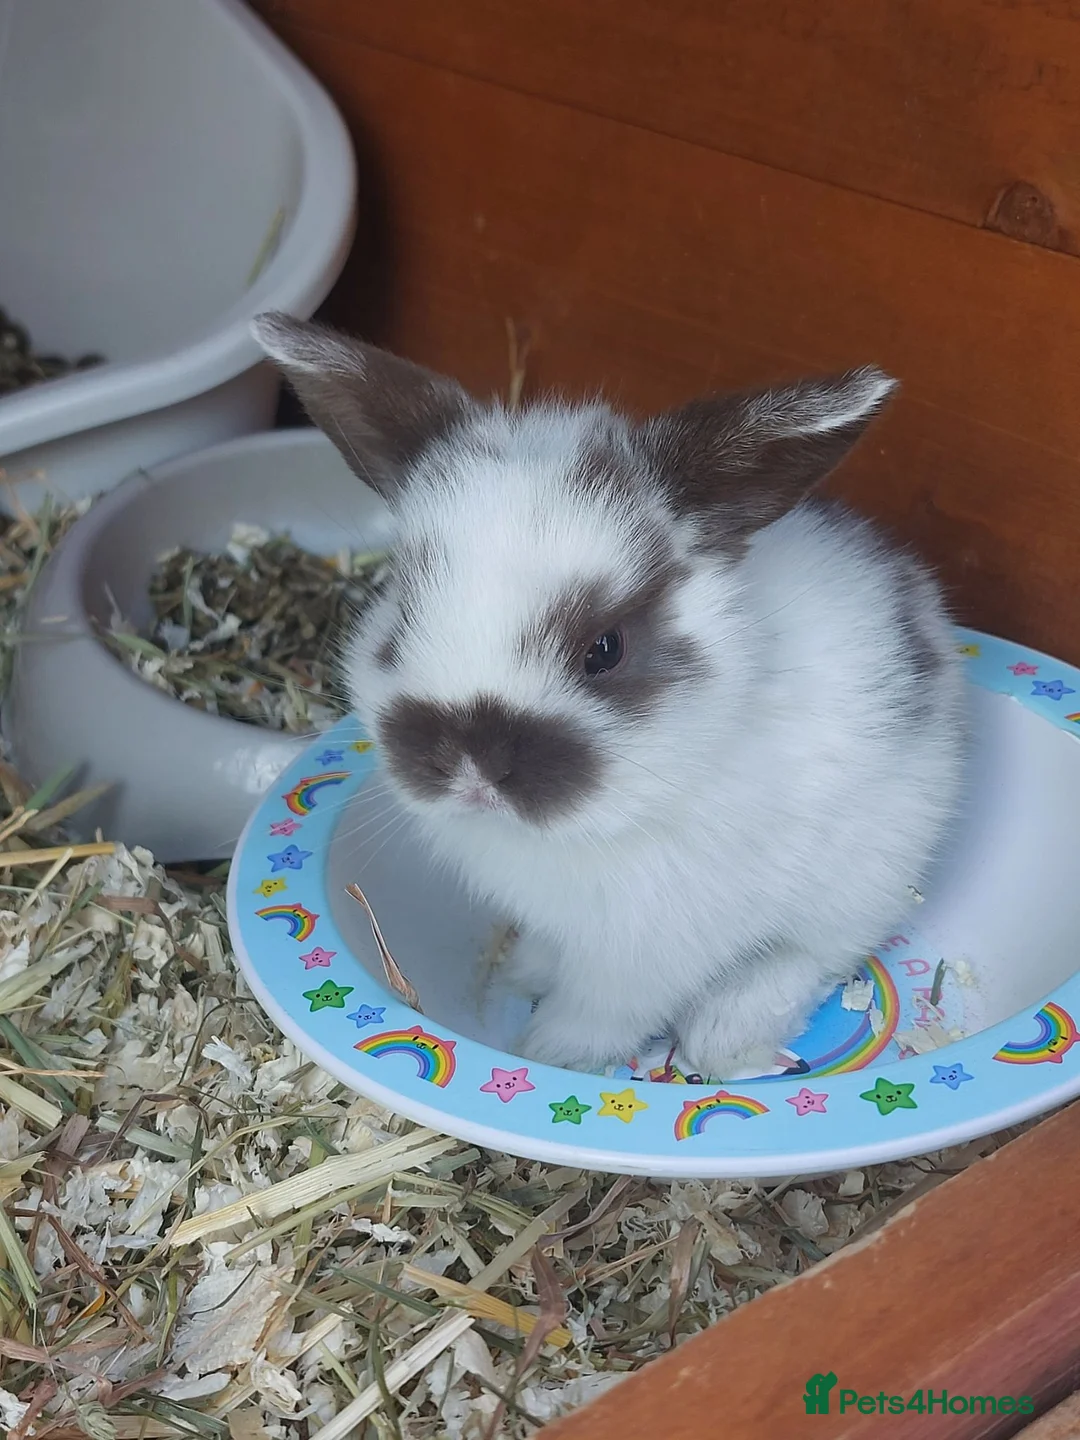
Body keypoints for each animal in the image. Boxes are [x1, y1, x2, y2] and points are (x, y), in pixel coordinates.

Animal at [252, 311, 966, 1080]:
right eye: (404, 612)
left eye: (605, 649)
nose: (471, 769)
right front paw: (522, 975)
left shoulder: (645, 953)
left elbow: (601, 1012)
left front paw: (549, 1052)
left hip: (868, 874)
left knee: (809, 957)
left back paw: (731, 1036)